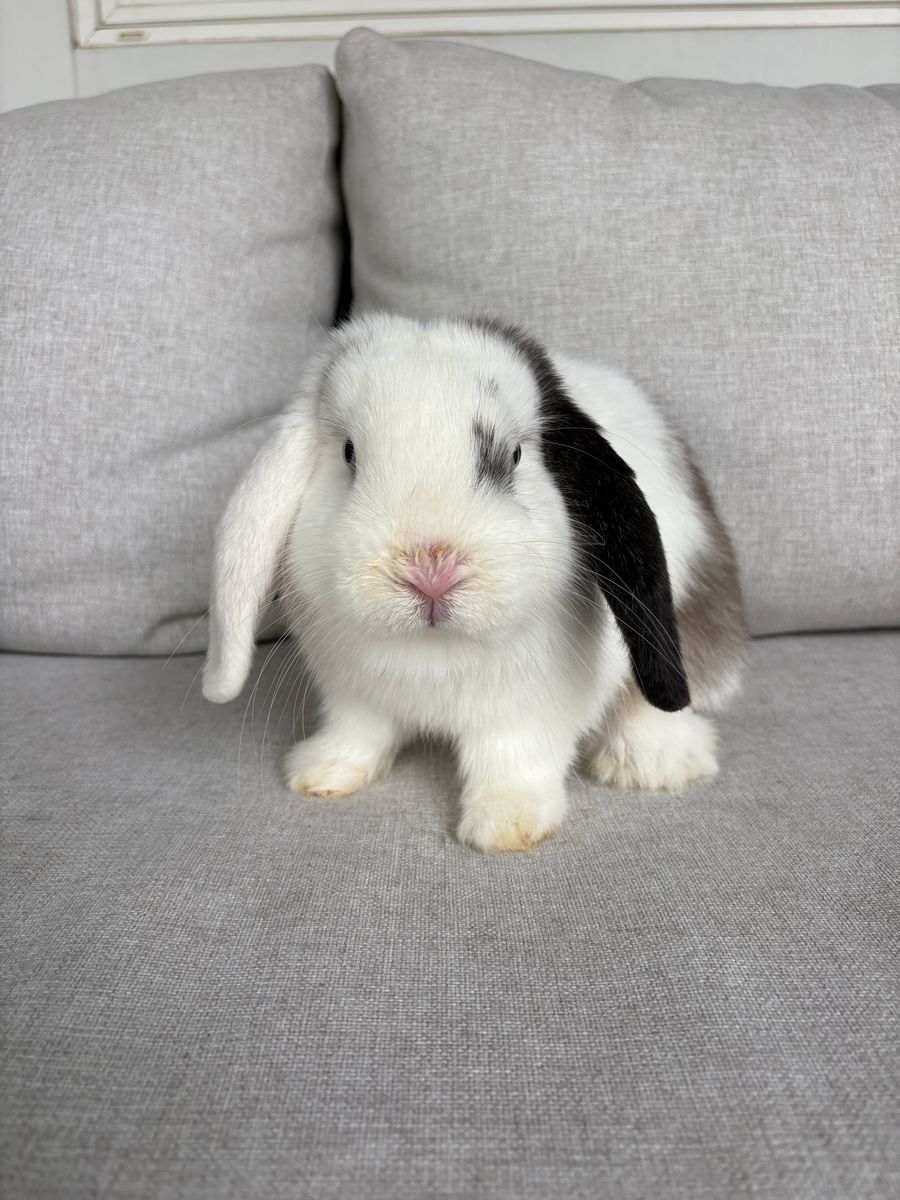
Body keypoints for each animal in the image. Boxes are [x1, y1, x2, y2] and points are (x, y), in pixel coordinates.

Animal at [203, 313, 748, 853]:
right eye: (348, 453)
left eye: (513, 456)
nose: (430, 570)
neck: (434, 654)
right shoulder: (353, 696)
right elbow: (359, 731)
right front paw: (323, 774)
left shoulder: (529, 712)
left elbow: (512, 760)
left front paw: (506, 825)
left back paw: (654, 764)